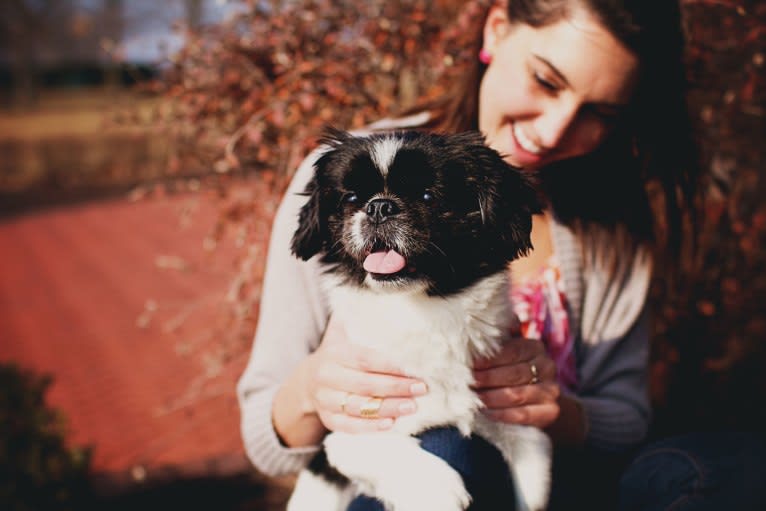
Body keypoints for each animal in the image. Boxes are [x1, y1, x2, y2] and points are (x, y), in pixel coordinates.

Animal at [288, 129, 552, 511]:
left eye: (429, 195)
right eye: (351, 198)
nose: (379, 206)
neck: (424, 311)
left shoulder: (521, 429)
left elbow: (532, 486)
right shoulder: (348, 435)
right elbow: (401, 459)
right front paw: (438, 487)